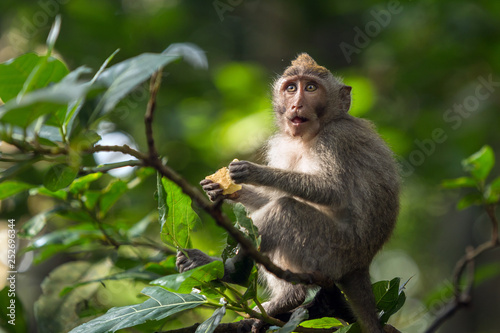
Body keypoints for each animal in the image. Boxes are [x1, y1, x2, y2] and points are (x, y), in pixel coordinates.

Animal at [176, 53, 398, 330]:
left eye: (311, 88)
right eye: (291, 88)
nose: (296, 105)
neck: (309, 136)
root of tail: (360, 265)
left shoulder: (336, 138)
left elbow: (332, 190)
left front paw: (253, 172)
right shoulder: (284, 143)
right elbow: (267, 198)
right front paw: (222, 190)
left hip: (331, 252)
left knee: (286, 209)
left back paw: (234, 271)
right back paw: (284, 297)